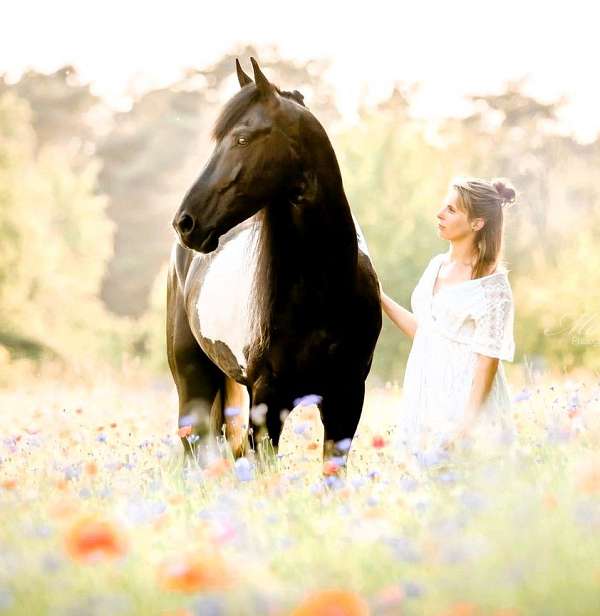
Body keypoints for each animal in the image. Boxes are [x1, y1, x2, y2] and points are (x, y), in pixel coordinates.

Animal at [165, 57, 380, 458]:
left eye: (242, 138)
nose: (185, 222)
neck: (325, 291)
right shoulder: (268, 401)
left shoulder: (346, 402)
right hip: (193, 384)